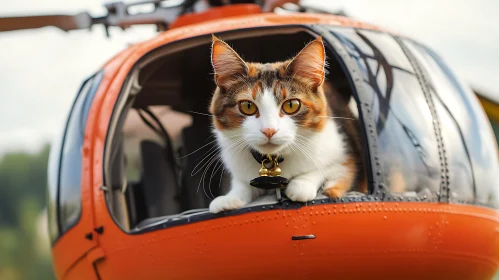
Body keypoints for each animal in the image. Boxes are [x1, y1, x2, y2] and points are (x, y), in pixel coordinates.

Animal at [207, 35, 368, 214]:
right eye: (247, 106)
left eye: (291, 105)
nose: (269, 130)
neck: (273, 159)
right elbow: (243, 184)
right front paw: (230, 198)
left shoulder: (345, 157)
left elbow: (331, 169)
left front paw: (301, 184)